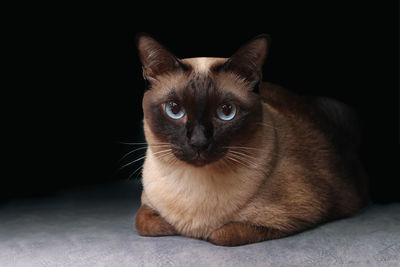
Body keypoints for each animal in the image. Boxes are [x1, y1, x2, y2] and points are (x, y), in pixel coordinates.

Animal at [133, 33, 368, 247]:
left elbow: (220, 235)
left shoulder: (294, 217)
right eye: (174, 110)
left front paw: (202, 233)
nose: (198, 142)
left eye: (226, 112)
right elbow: (146, 223)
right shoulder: (147, 206)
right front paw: (174, 227)